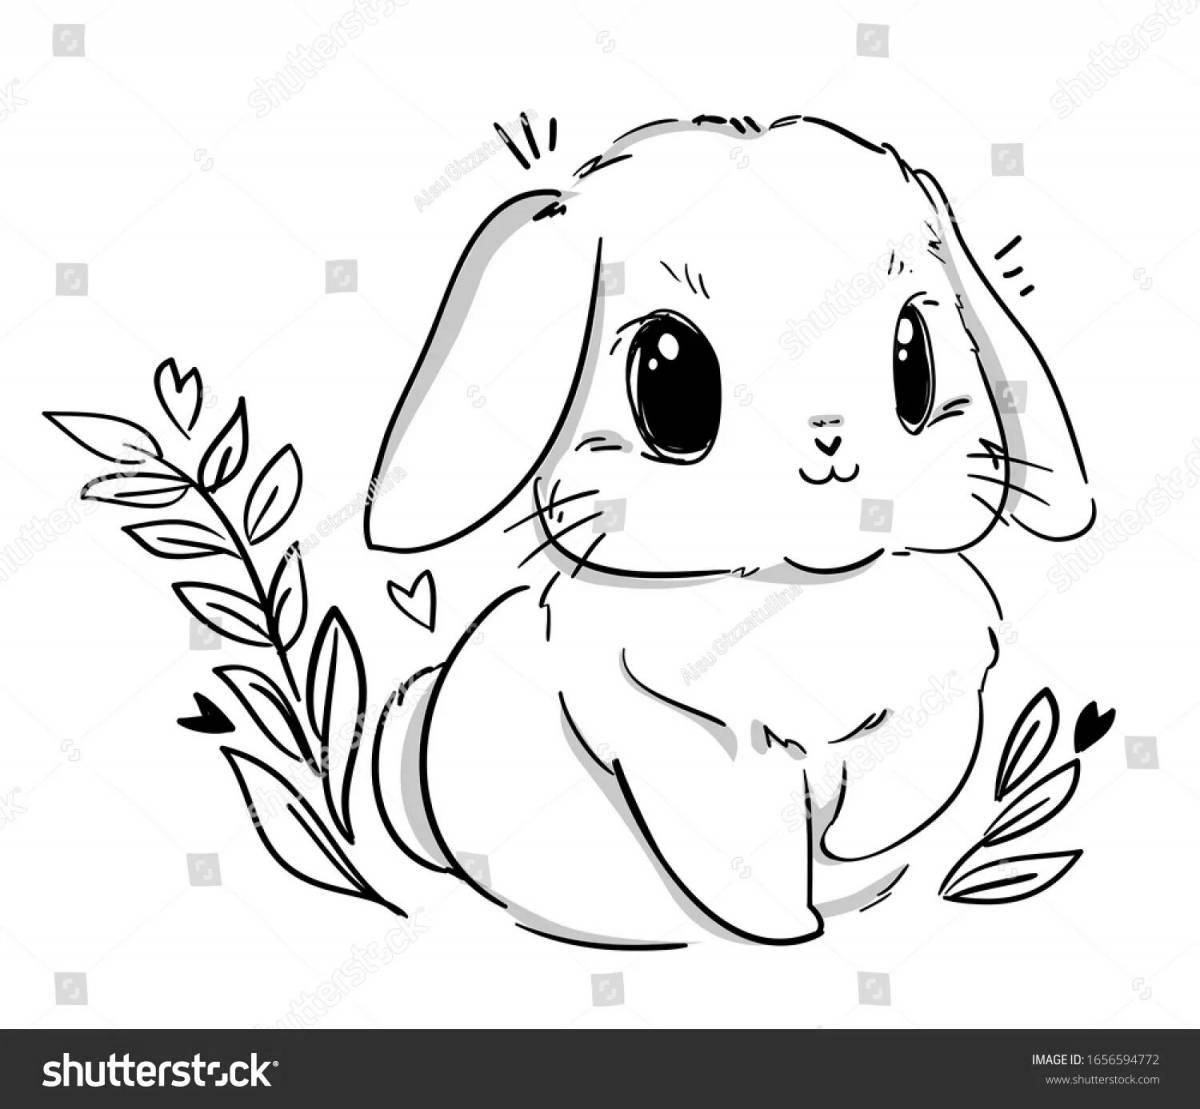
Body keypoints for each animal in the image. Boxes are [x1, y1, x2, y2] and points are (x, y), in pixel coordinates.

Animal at [364, 115, 1095, 948]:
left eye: (913, 357)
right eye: (670, 378)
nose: (830, 436)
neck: (804, 599)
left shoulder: (937, 691)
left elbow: (908, 772)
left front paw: (858, 845)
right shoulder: (690, 748)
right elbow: (749, 853)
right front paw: (787, 928)